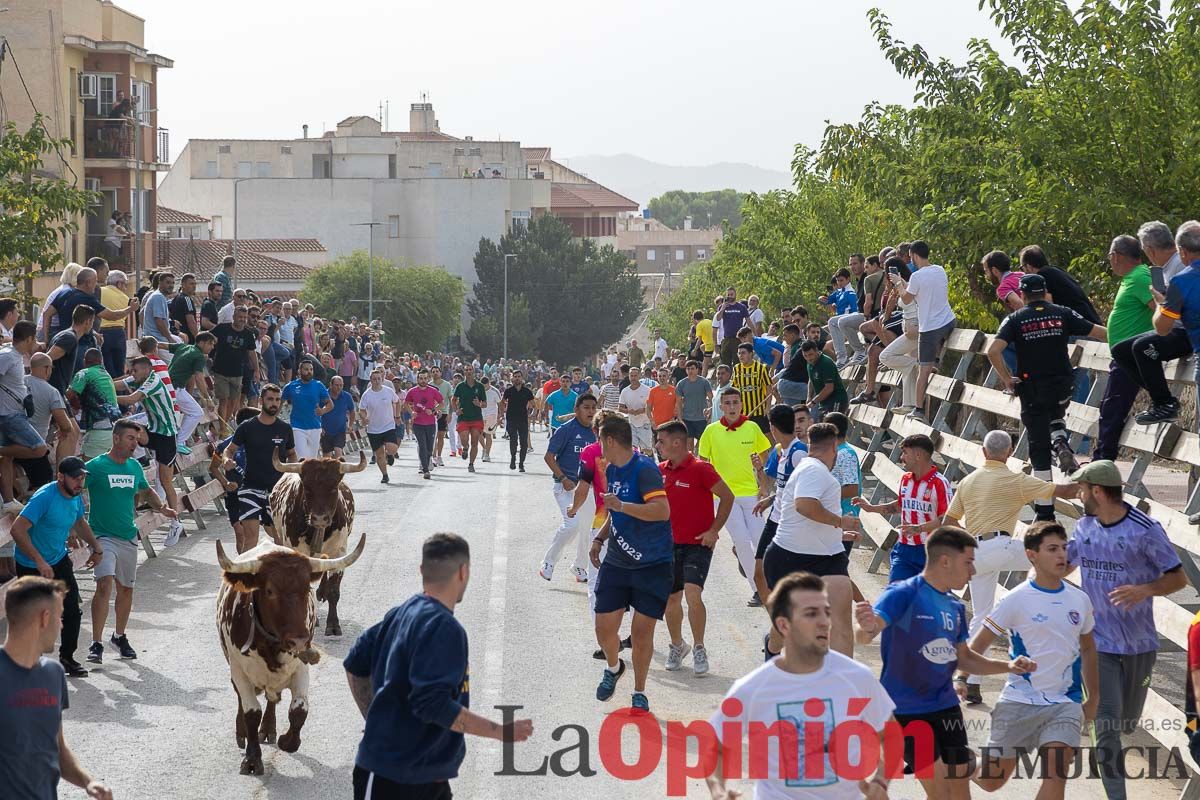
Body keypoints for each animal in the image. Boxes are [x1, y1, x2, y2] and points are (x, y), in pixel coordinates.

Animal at [216, 537, 362, 777]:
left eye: (307, 589)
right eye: (269, 591)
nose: (300, 641)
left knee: (273, 699)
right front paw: (252, 759)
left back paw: (268, 729)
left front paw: (287, 741)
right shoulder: (239, 671)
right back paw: (243, 732)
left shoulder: (300, 668)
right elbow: (251, 712)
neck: (270, 645)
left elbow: (299, 710)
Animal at [268, 453, 364, 633]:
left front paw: (333, 624)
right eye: (307, 488)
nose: (320, 518)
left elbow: (334, 590)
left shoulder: (339, 552)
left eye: (333, 488)